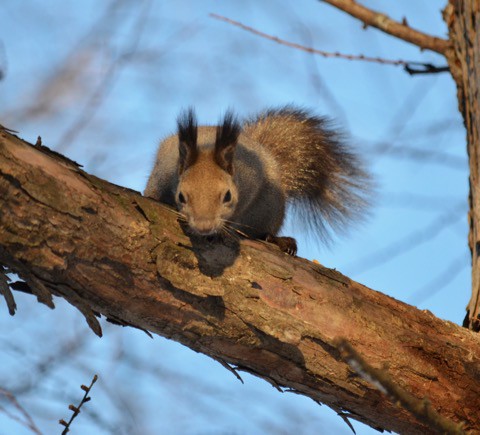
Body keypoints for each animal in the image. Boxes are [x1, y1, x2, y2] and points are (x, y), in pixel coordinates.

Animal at [145, 106, 372, 255]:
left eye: (228, 196)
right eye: (181, 197)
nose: (204, 227)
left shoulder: (251, 181)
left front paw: (224, 231)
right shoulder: (162, 173)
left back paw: (278, 240)